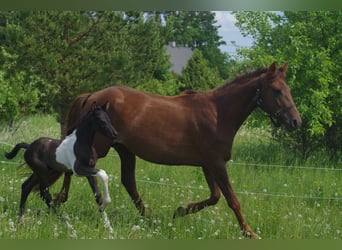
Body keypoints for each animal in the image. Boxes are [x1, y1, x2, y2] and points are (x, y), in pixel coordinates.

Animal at [59, 62, 302, 238]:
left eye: (288, 89)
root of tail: (91, 96)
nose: (296, 122)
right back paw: (63, 200)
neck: (218, 113)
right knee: (76, 168)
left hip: (125, 150)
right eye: (277, 91)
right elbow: (232, 200)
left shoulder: (207, 164)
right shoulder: (216, 163)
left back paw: (148, 218)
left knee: (128, 182)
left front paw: (179, 211)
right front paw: (250, 233)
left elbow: (214, 196)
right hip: (99, 147)